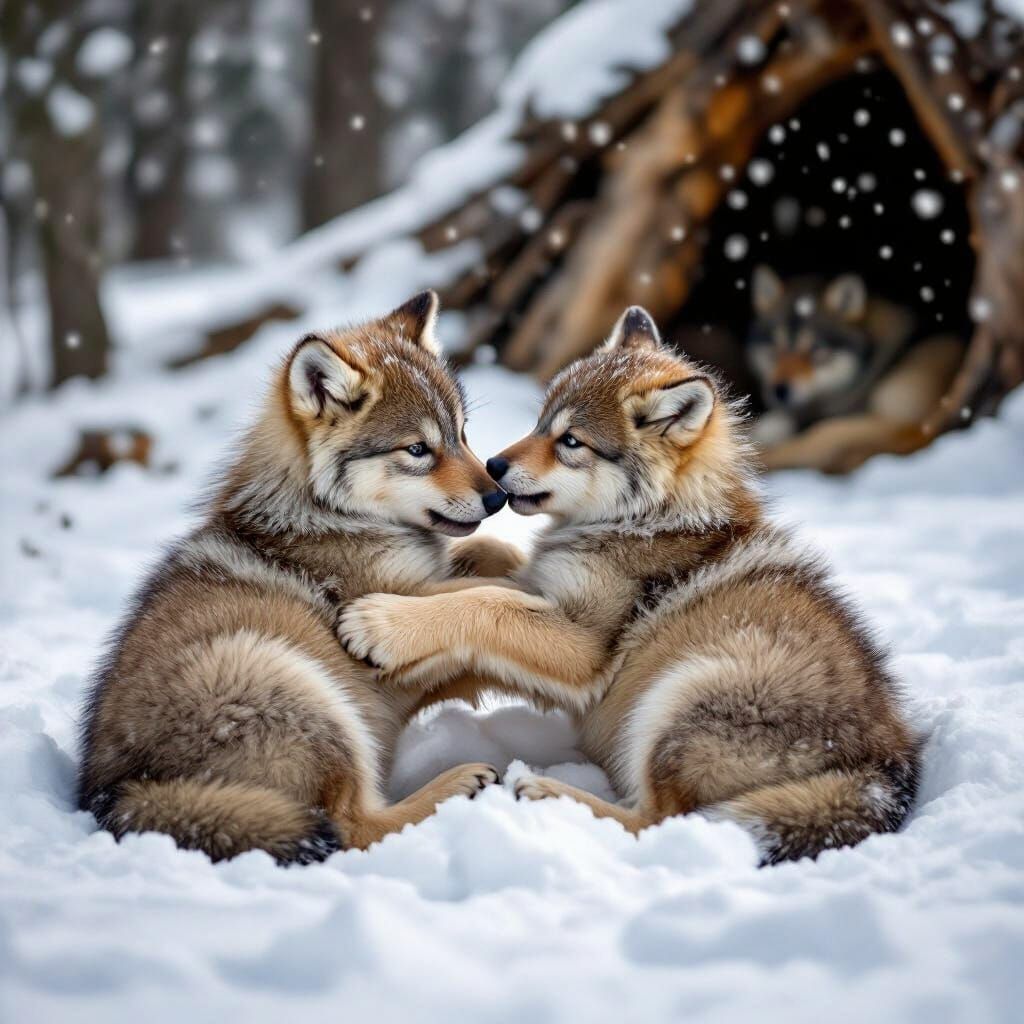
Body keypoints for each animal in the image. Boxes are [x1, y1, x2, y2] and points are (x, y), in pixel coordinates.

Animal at [77, 291, 521, 864]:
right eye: (418, 450)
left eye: (462, 433)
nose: (498, 497)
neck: (323, 513)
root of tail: (120, 794)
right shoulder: (400, 606)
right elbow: (488, 591)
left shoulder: (434, 572)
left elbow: (492, 551)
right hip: (306, 693)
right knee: (353, 826)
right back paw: (456, 785)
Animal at [339, 306, 921, 865]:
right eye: (540, 422)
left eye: (571, 441)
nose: (494, 467)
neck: (648, 519)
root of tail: (884, 772)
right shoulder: (546, 582)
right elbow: (499, 562)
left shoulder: (584, 649)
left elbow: (488, 601)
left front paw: (383, 623)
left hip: (676, 701)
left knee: (660, 820)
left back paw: (547, 793)